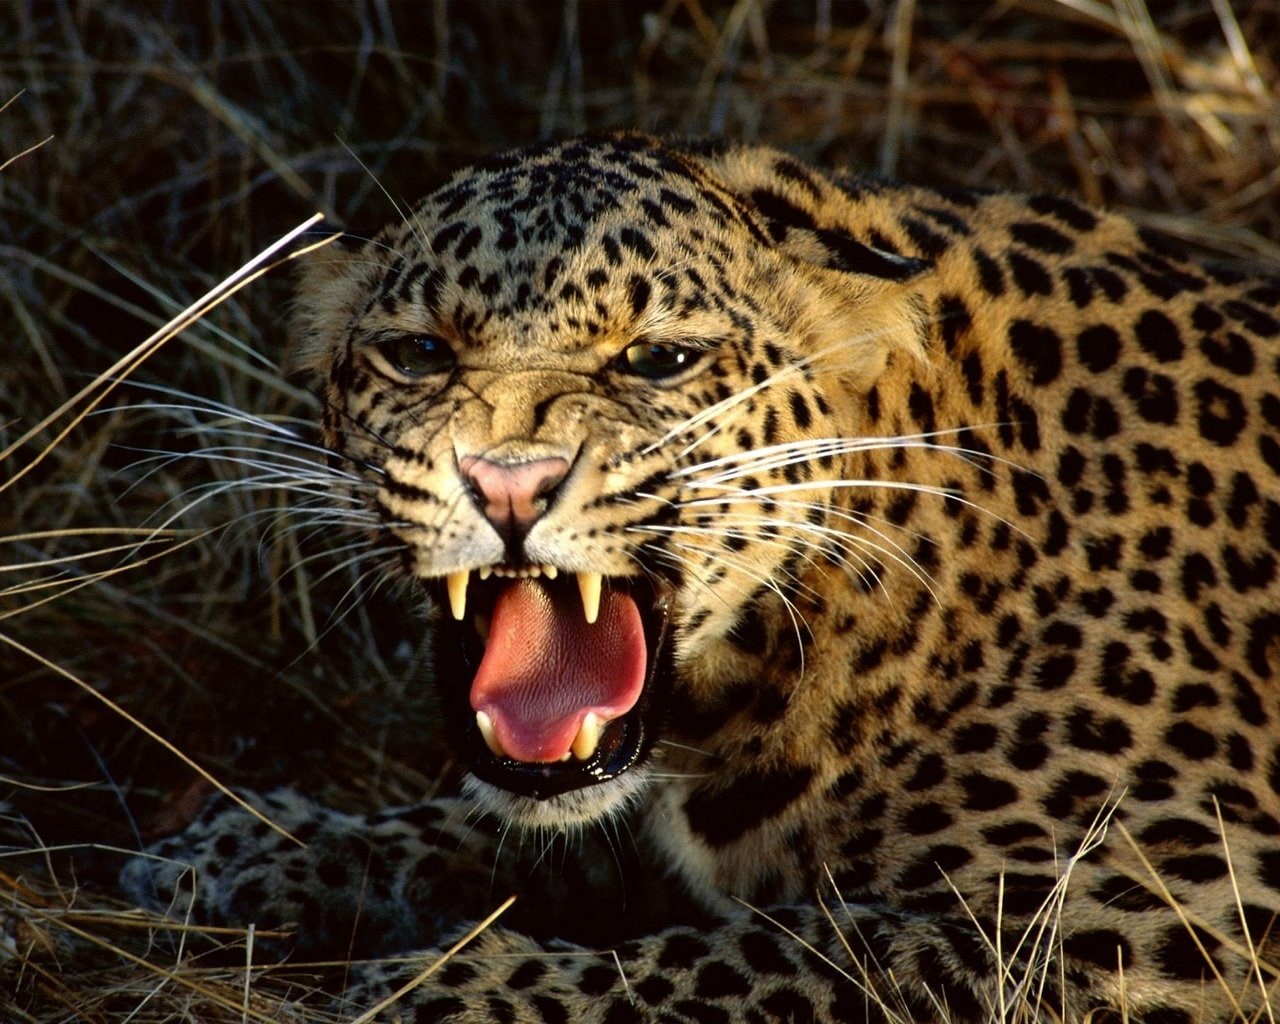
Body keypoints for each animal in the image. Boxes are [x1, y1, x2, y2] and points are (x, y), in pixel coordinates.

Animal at [121, 132, 1280, 1023]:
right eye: (418, 354)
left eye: (659, 360)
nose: (507, 483)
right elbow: (508, 826)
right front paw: (256, 847)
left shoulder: (1176, 909)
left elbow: (800, 954)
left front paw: (442, 991)